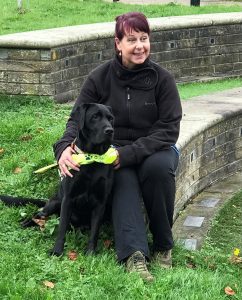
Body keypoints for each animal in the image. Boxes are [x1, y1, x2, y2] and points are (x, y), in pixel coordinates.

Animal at [0, 103, 114, 255]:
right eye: (95, 116)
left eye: (110, 118)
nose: (110, 131)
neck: (91, 158)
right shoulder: (67, 199)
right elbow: (62, 228)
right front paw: (57, 251)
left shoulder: (100, 203)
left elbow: (94, 232)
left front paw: (90, 253)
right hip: (55, 203)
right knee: (38, 213)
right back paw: (26, 222)